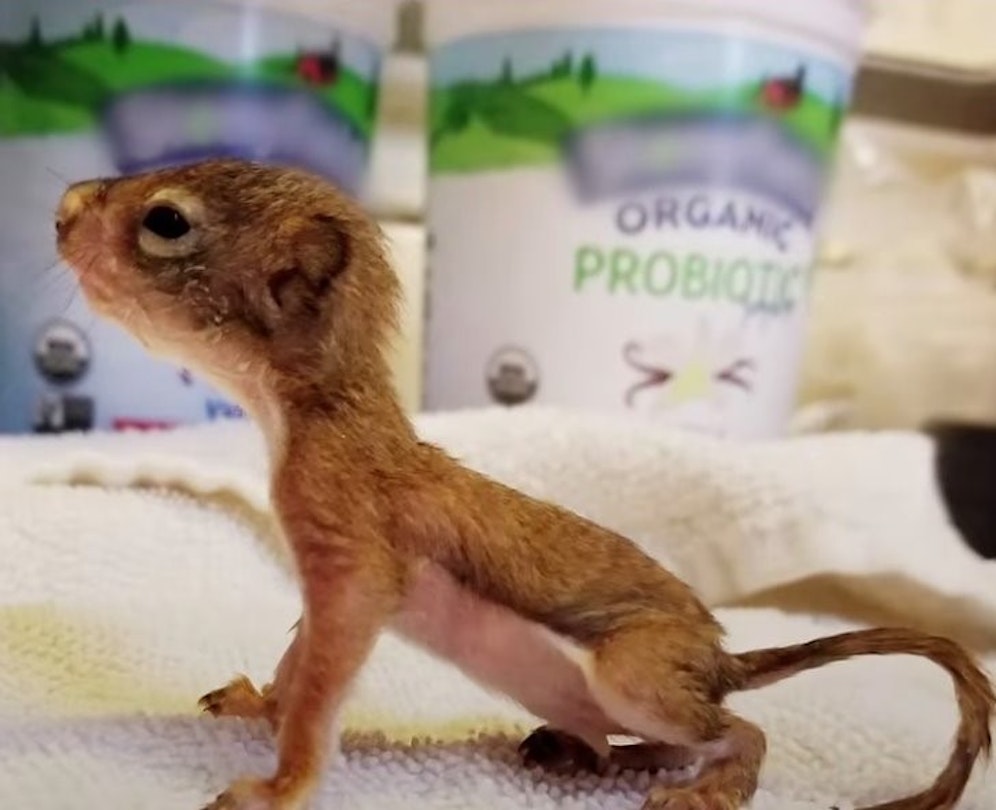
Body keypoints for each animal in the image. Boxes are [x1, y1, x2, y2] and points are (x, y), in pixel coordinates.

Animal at [55, 159, 994, 810]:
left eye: (166, 221)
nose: (62, 209)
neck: (308, 416)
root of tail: (720, 664)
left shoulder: (354, 553)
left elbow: (326, 680)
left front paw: (278, 786)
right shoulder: (324, 575)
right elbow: (301, 654)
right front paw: (261, 701)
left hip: (636, 674)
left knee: (741, 731)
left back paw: (702, 786)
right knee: (659, 740)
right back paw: (593, 754)